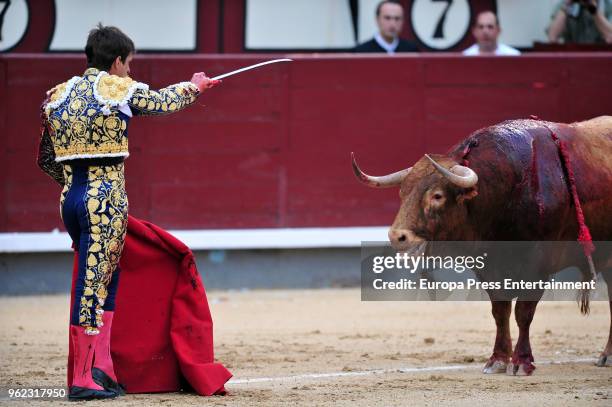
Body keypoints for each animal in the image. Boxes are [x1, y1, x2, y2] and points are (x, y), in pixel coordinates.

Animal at [354, 115, 612, 376]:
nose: (397, 236)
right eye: (402, 192)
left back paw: (607, 355)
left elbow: (523, 312)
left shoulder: (538, 267)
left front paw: (522, 361)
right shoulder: (488, 266)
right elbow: (500, 311)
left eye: (437, 195)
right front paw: (497, 359)